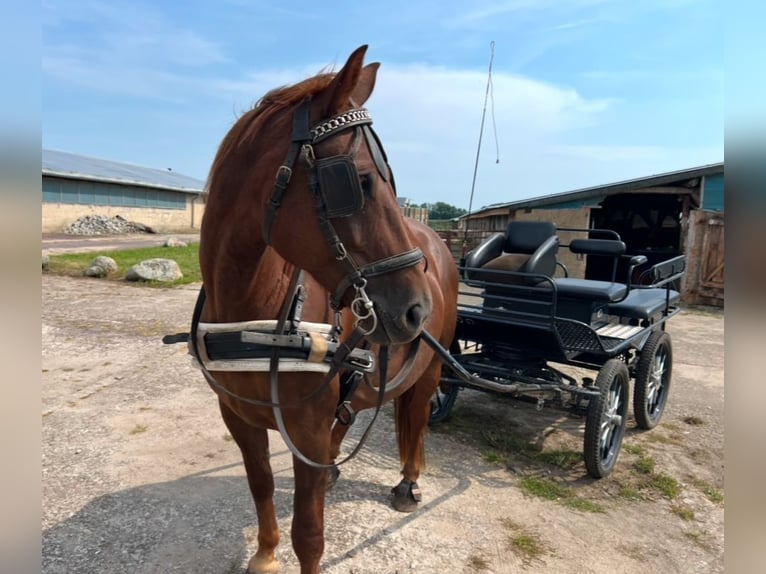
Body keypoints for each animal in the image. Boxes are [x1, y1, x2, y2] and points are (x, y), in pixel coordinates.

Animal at [198, 46, 460, 574]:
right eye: (358, 181)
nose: (415, 309)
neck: (259, 318)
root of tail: (439, 244)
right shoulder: (238, 417)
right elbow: (261, 486)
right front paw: (265, 554)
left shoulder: (308, 428)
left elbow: (310, 533)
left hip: (429, 369)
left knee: (418, 416)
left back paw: (408, 481)